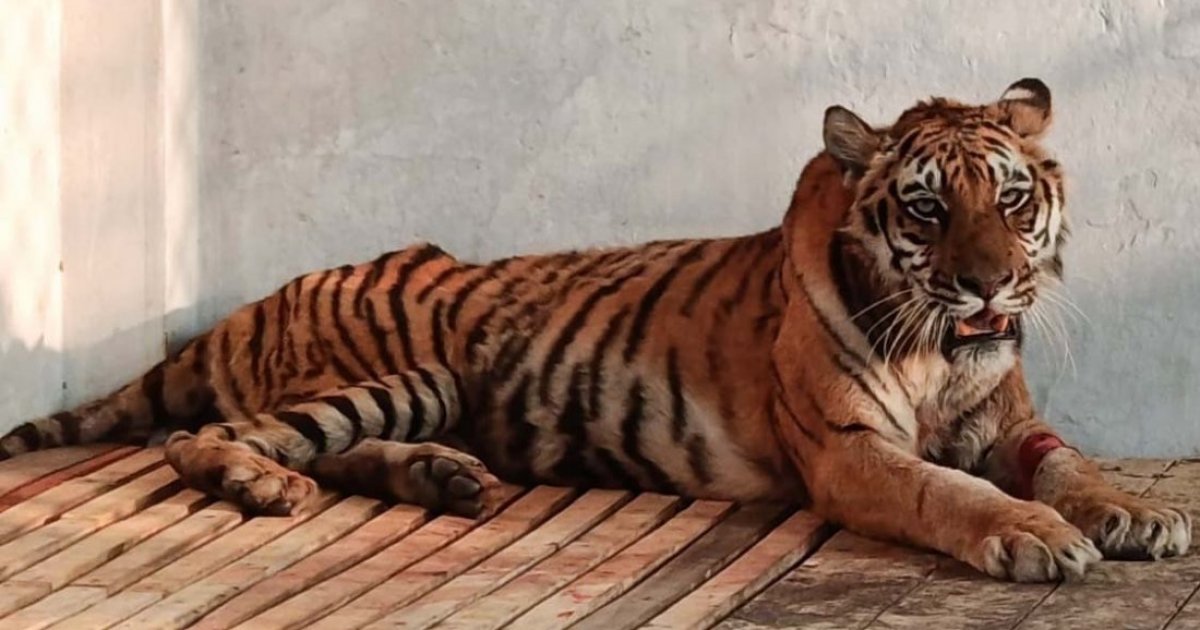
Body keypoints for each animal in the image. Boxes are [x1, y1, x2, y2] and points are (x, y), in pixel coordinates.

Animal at [0, 78, 1190, 582]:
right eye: (929, 209)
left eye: (1013, 201)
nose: (990, 288)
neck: (944, 354)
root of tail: (250, 304)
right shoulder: (851, 454)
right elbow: (950, 493)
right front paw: (1036, 537)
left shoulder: (1011, 422)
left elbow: (1071, 465)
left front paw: (1135, 513)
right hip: (408, 371)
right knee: (200, 438)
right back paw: (266, 485)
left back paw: (449, 480)